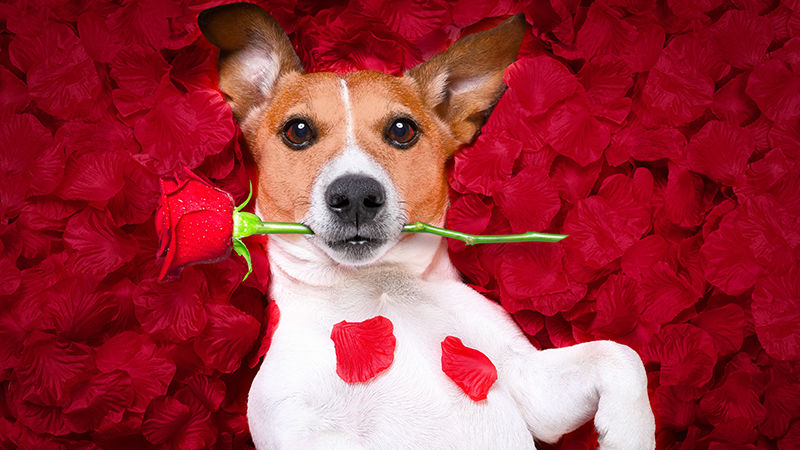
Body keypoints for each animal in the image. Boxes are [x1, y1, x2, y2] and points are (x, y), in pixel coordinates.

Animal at [197, 2, 652, 446]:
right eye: (298, 131)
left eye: (402, 130)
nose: (356, 195)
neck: (376, 290)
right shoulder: (293, 423)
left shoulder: (530, 387)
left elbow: (619, 354)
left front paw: (631, 432)